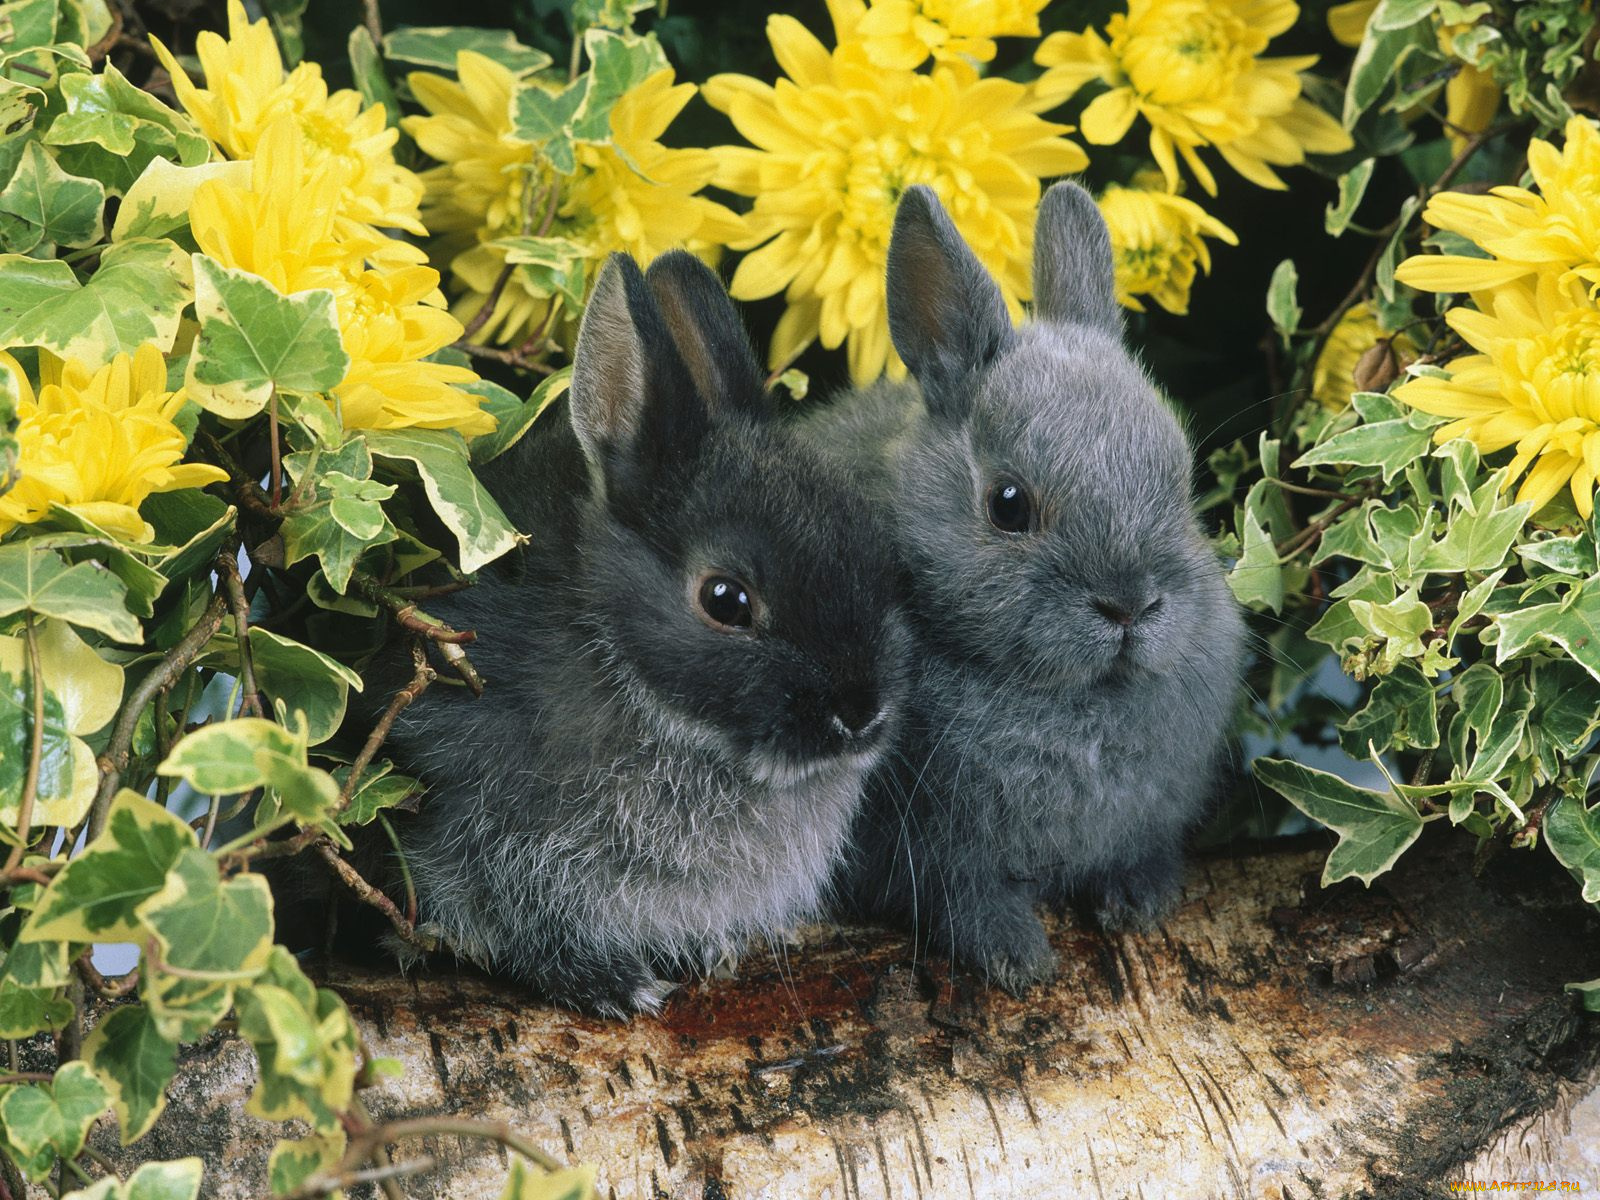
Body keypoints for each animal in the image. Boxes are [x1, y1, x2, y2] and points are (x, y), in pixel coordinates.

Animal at [375, 250, 909, 1017]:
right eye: (725, 599)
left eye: (876, 554)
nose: (860, 714)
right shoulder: (480, 833)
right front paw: (615, 987)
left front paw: (714, 953)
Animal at [804, 182, 1245, 994]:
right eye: (1008, 505)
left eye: (1181, 477)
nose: (1130, 605)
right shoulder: (925, 854)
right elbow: (962, 899)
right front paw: (1019, 959)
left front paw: (1138, 903)